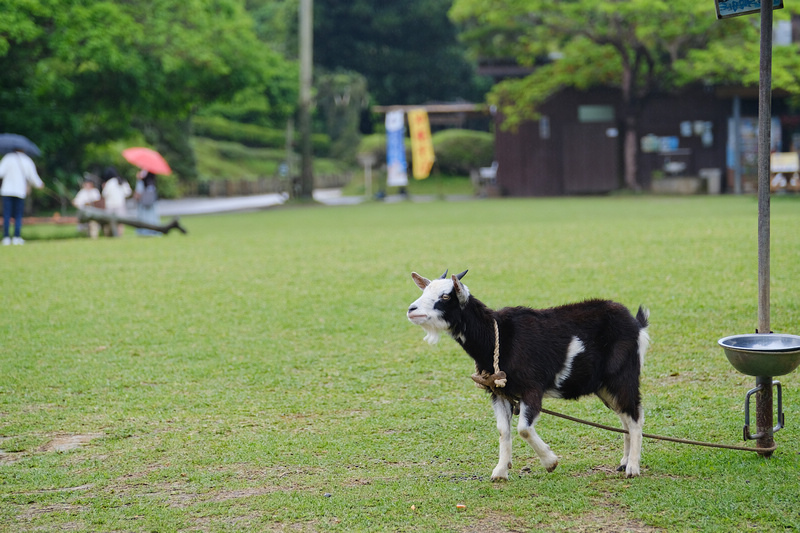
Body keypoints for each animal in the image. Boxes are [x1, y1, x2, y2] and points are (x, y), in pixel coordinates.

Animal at [406, 270, 648, 478]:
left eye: (446, 296)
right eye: (425, 291)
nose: (411, 310)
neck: (498, 337)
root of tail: (637, 325)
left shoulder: (532, 388)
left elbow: (523, 429)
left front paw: (550, 462)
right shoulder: (499, 392)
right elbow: (503, 430)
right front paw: (500, 472)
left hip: (623, 376)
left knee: (635, 417)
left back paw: (632, 468)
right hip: (604, 387)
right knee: (625, 418)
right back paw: (624, 462)